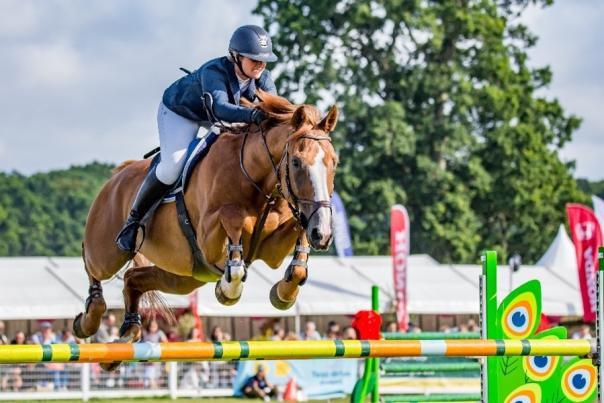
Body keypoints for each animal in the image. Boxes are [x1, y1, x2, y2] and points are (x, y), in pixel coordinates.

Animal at [72, 90, 338, 368]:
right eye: (296, 162)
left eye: (334, 162)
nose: (323, 233)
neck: (256, 177)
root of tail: (116, 176)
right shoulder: (208, 236)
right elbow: (235, 219)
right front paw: (229, 288)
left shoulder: (273, 249)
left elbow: (297, 243)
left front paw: (283, 292)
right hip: (107, 253)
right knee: (92, 265)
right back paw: (89, 320)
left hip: (186, 276)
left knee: (132, 278)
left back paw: (125, 337)